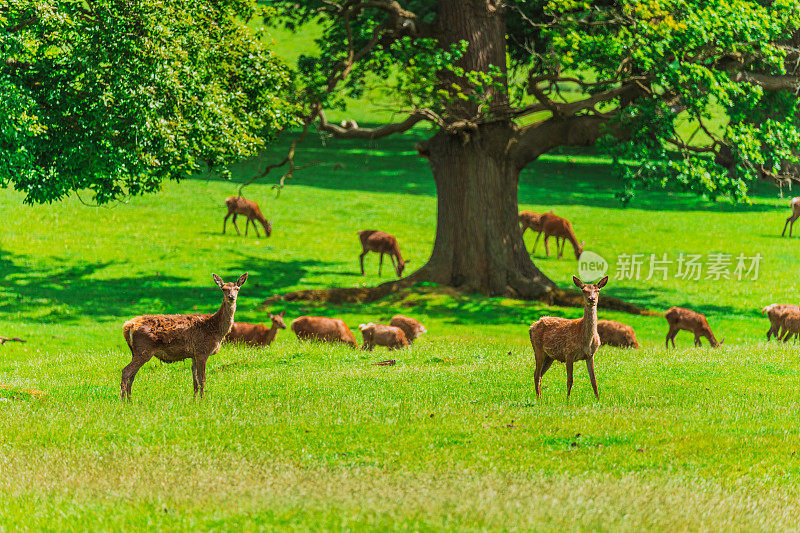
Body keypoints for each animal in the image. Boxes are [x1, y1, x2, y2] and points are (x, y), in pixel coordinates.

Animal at [120, 270, 247, 400]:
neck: (215, 329)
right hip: (144, 349)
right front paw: (203, 400)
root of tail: (128, 325)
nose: (231, 297)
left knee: (132, 375)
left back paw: (130, 400)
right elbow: (202, 379)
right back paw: (123, 400)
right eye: (223, 289)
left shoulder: (194, 354)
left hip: (136, 351)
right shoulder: (202, 351)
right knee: (126, 371)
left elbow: (195, 381)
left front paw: (194, 400)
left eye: (237, 288)